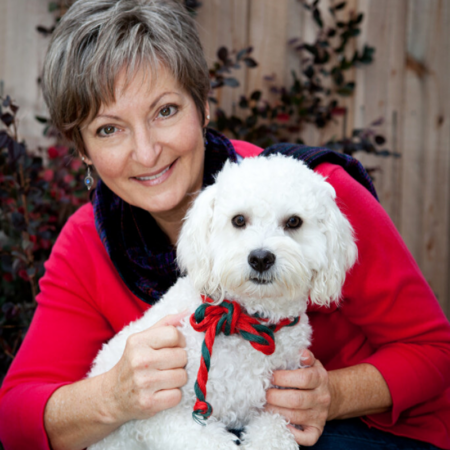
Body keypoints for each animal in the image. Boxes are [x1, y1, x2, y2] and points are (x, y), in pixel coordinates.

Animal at [86, 156, 356, 450]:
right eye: (238, 220)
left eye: (294, 222)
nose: (261, 258)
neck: (247, 322)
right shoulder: (162, 414)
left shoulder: (280, 408)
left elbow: (273, 433)